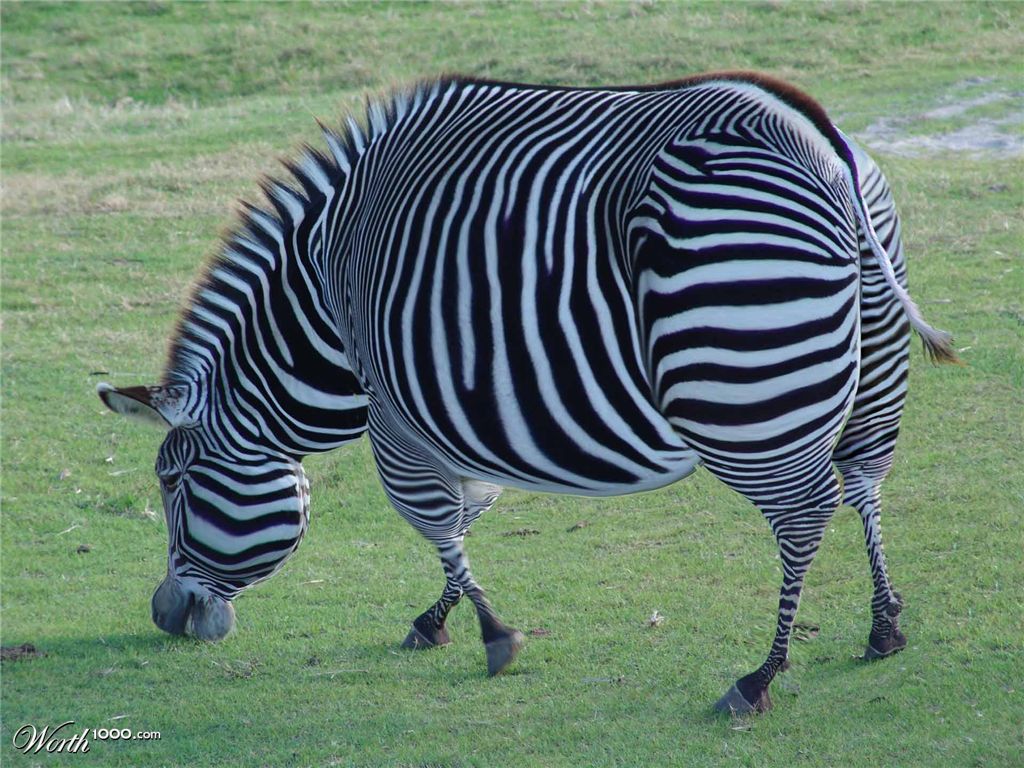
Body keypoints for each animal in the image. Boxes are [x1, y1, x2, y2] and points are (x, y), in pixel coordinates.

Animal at [98, 71, 958, 714]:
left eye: (170, 482)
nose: (163, 617)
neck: (321, 306)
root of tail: (813, 138)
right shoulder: (455, 407)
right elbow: (473, 507)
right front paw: (439, 616)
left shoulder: (393, 410)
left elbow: (434, 520)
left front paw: (491, 634)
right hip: (874, 350)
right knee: (866, 477)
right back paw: (884, 626)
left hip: (733, 383)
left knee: (804, 510)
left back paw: (760, 675)